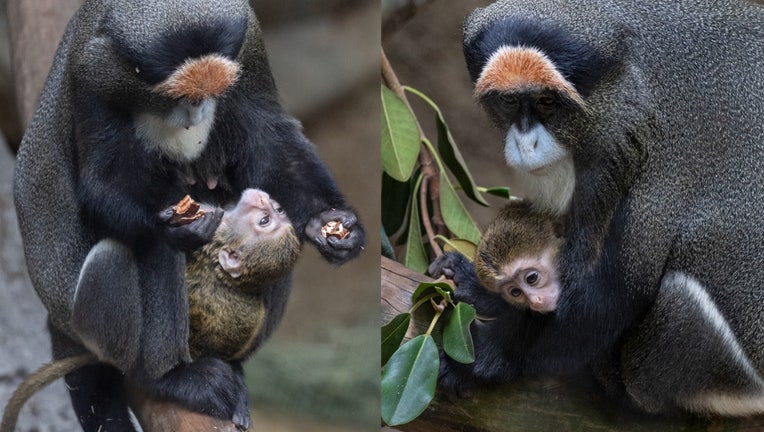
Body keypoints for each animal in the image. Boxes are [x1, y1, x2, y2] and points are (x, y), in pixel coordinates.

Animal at [430, 0, 764, 416]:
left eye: (546, 102)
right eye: (509, 101)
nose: (526, 143)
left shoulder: (662, 151)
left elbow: (616, 294)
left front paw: (486, 358)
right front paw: (479, 287)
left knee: (681, 299)